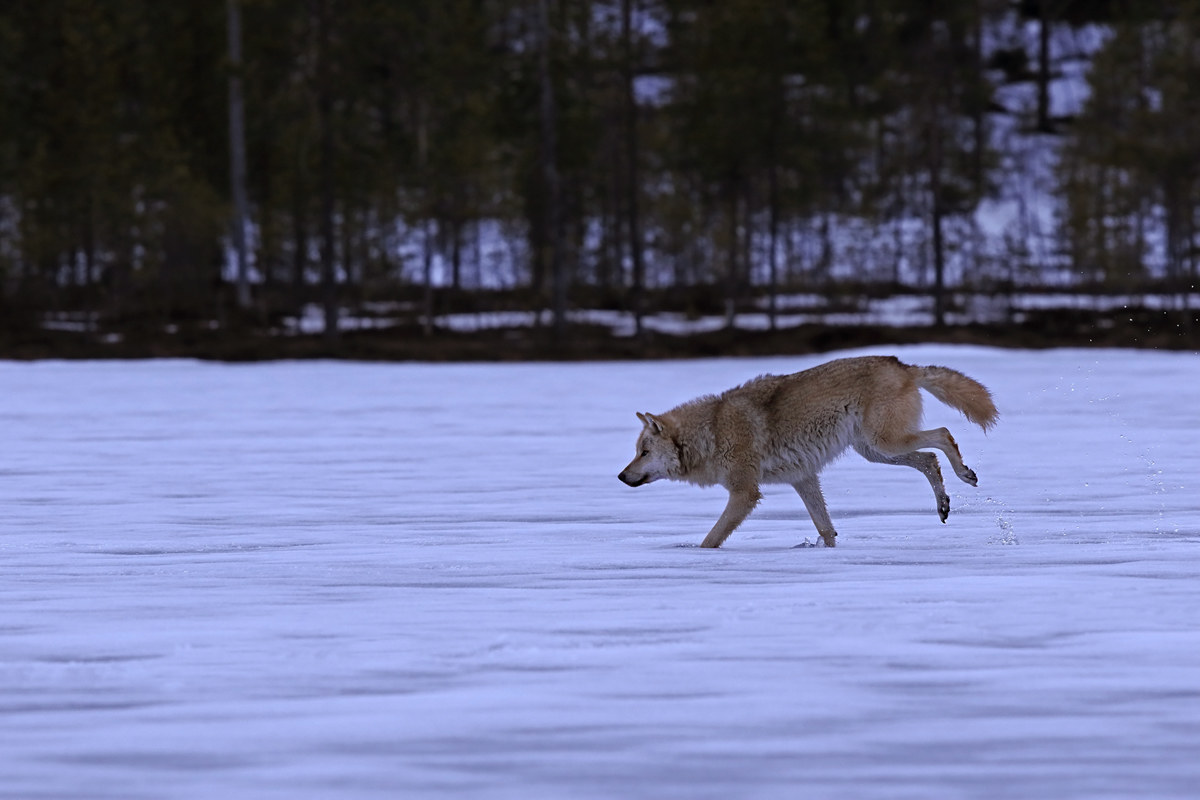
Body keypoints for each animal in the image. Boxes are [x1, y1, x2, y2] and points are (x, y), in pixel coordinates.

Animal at [617, 355, 998, 548]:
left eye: (643, 451)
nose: (621, 476)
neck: (712, 431)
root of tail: (902, 364)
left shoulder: (745, 493)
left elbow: (710, 539)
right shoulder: (803, 479)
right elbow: (826, 529)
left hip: (885, 443)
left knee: (944, 435)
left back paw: (965, 474)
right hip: (877, 451)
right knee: (929, 459)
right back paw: (943, 503)